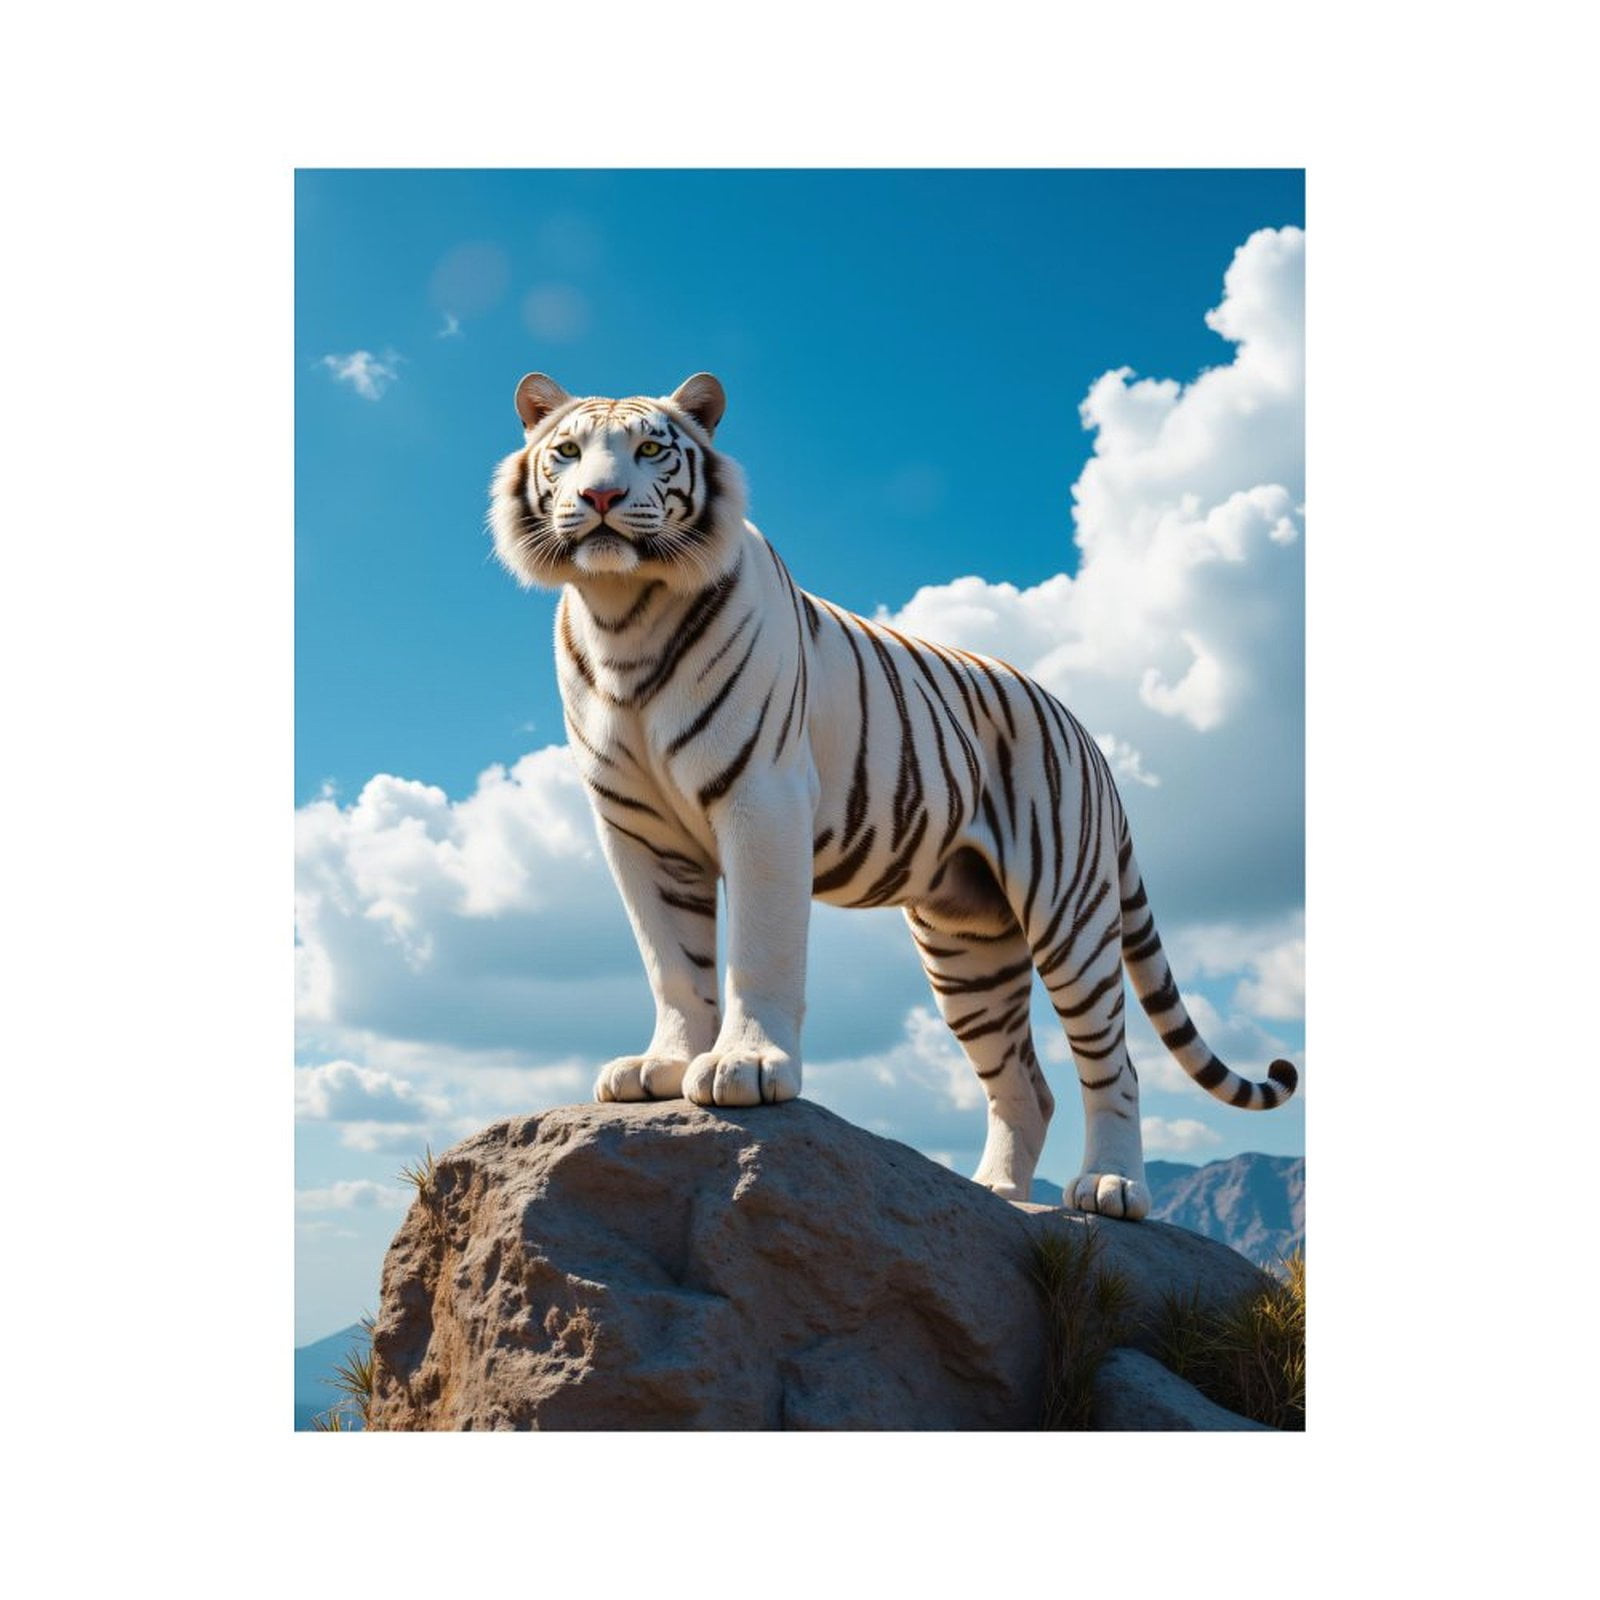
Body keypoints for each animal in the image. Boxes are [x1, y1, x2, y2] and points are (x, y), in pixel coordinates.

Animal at [488, 371, 1299, 1220]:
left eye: (649, 450)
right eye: (567, 453)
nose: (602, 495)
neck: (623, 609)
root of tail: (1087, 736)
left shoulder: (761, 797)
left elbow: (758, 950)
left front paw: (748, 1066)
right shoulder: (636, 828)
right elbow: (672, 960)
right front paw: (664, 1067)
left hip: (1069, 912)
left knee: (1113, 1062)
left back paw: (1110, 1187)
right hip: (967, 948)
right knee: (1024, 1085)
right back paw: (996, 1196)